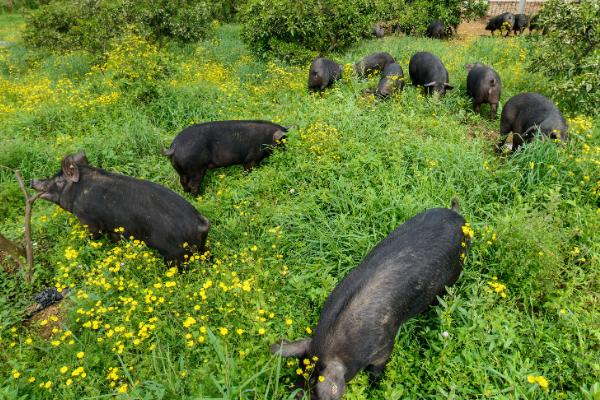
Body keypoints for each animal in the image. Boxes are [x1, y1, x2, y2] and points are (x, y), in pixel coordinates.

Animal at [33, 152, 211, 264]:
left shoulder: (87, 219)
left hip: (176, 254)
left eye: (58, 181)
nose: (32, 181)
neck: (79, 191)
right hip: (201, 249)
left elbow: (93, 236)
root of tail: (200, 223)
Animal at [272, 200, 468, 400]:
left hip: (456, 269)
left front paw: (375, 384)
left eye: (314, 391)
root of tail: (457, 216)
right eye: (300, 374)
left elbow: (378, 367)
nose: (295, 393)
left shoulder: (385, 345)